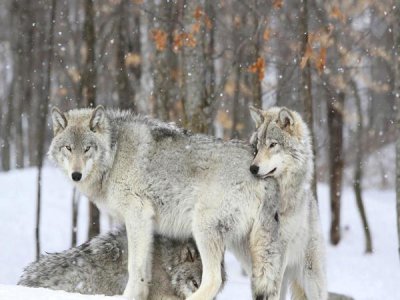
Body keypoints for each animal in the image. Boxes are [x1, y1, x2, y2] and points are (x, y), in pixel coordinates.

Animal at [48, 106, 280, 300]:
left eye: (87, 148)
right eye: (68, 148)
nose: (76, 175)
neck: (114, 154)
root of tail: (261, 171)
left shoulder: (137, 215)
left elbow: (134, 267)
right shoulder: (147, 225)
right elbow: (145, 270)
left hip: (204, 229)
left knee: (214, 279)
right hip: (248, 249)